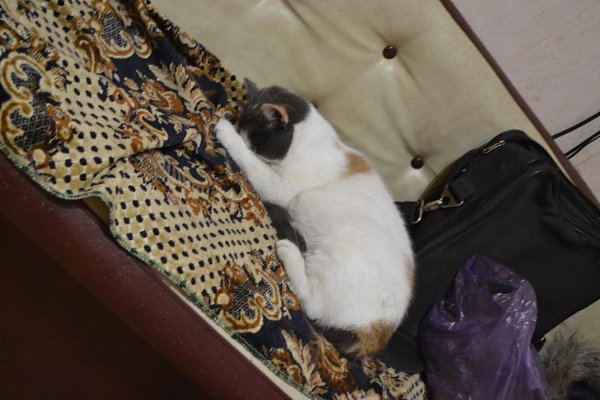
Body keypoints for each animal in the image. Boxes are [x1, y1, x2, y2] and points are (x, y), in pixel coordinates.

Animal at [216, 80, 414, 358]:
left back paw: (289, 251)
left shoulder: (279, 186)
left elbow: (254, 165)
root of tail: (378, 334)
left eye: (254, 144)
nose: (238, 131)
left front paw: (224, 129)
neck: (310, 143)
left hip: (337, 251)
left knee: (312, 305)